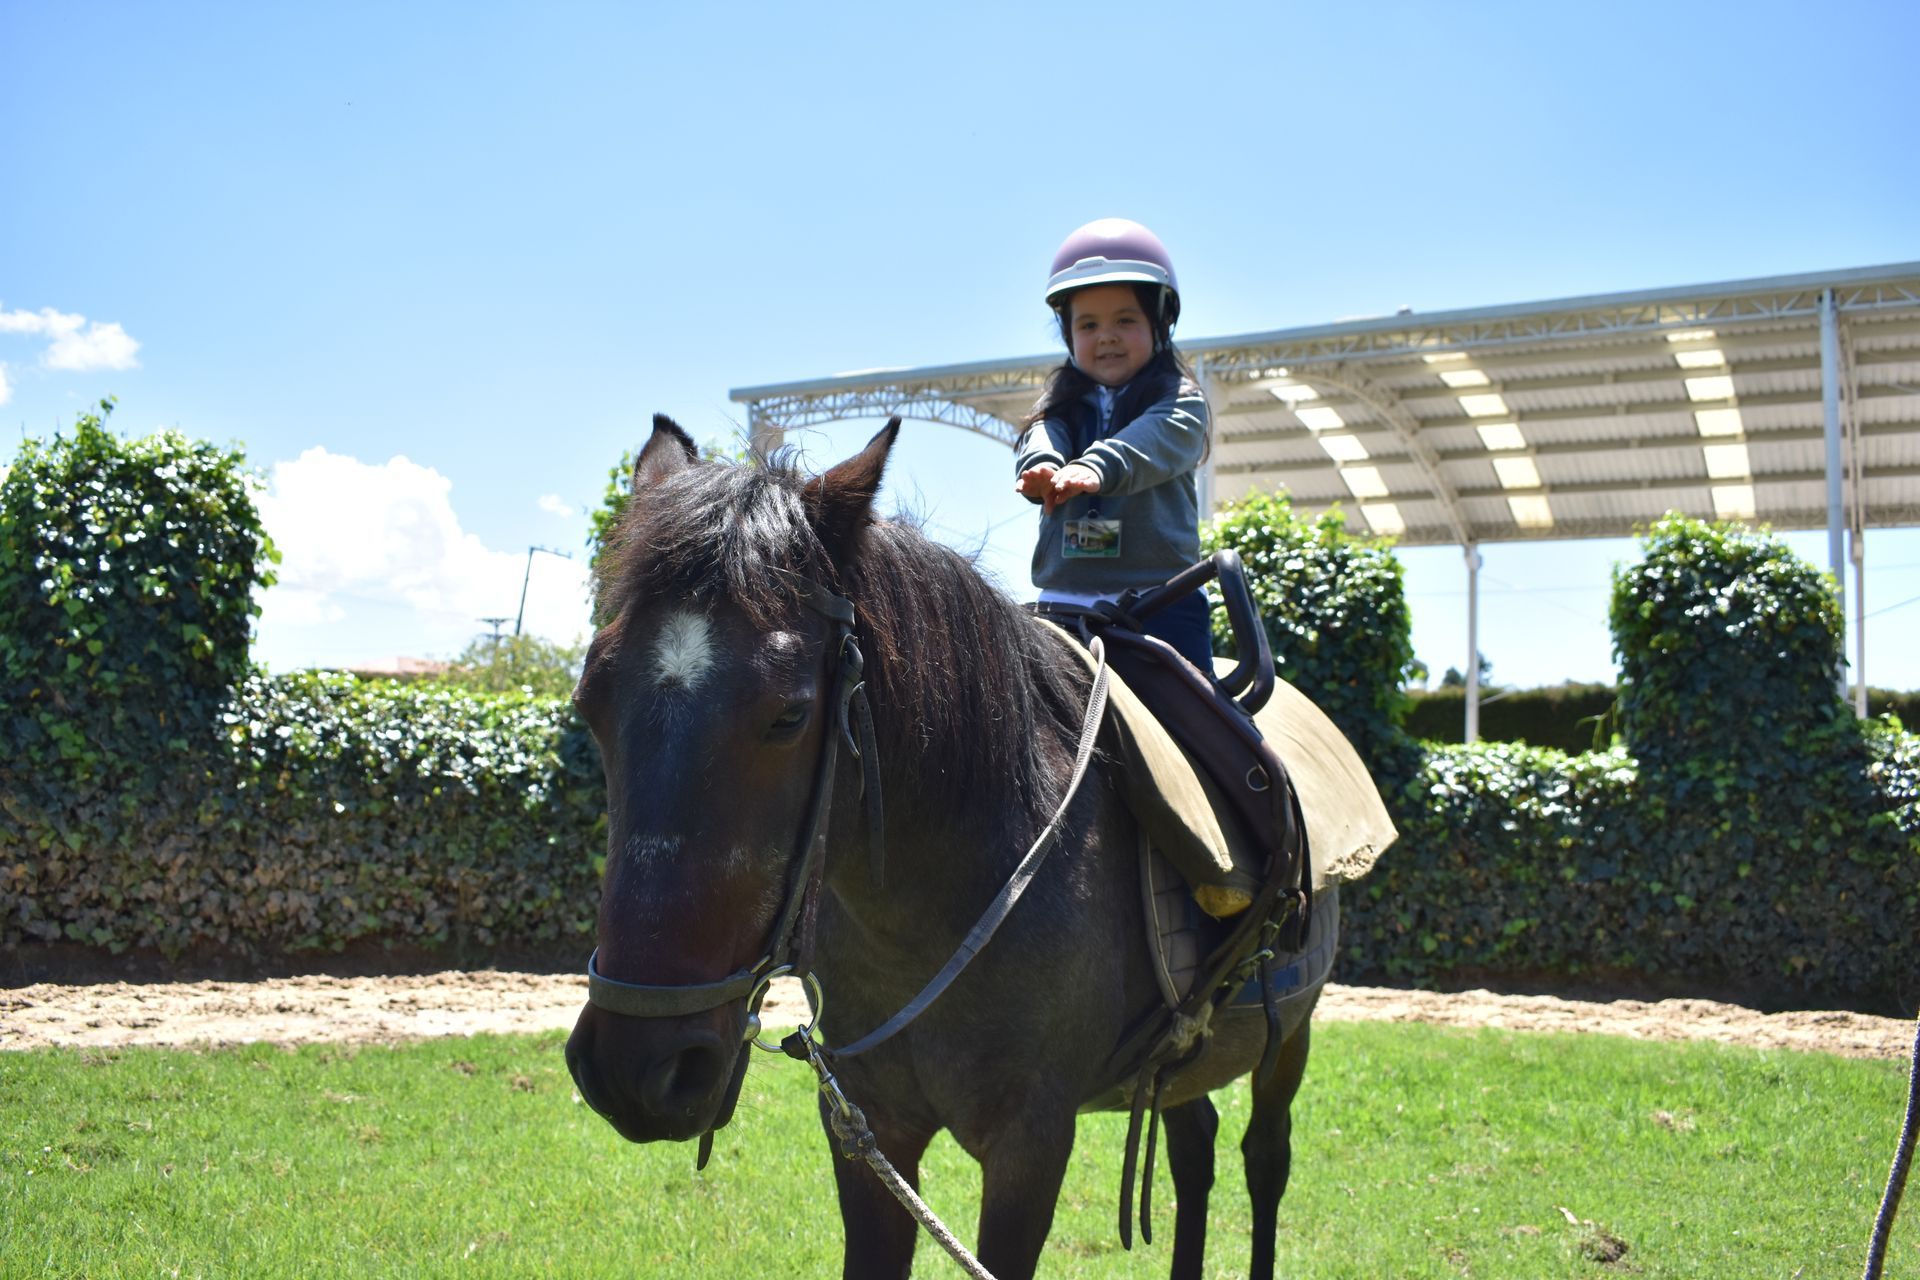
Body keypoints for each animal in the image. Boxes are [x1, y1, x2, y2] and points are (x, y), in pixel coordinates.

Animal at [565, 414, 1329, 1279]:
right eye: (590, 698)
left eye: (790, 714)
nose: (635, 1068)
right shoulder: (866, 1130)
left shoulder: (1031, 1144)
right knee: (1194, 1147)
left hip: (1290, 1034)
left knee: (1264, 1158)